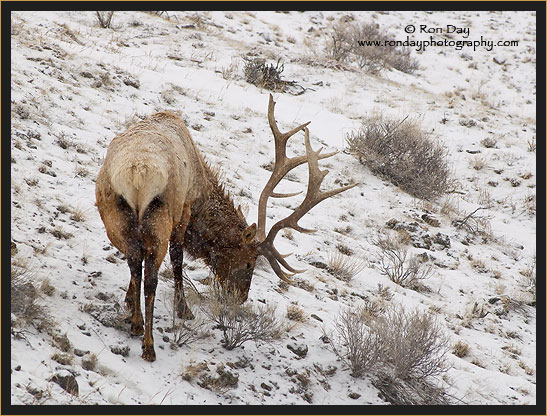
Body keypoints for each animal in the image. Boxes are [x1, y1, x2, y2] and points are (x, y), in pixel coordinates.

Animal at [96, 95, 358, 360]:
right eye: (250, 262)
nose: (241, 297)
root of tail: (137, 175)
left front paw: (129, 300)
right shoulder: (184, 211)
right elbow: (177, 260)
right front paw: (183, 309)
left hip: (114, 218)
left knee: (134, 261)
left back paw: (136, 321)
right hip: (160, 221)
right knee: (151, 278)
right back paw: (148, 343)